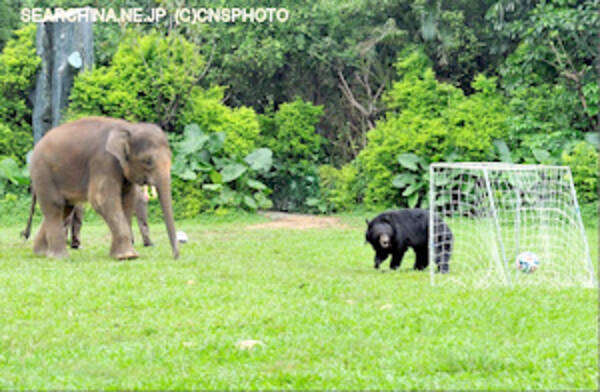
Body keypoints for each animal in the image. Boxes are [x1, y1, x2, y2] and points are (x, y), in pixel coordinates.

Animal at [25, 116, 178, 260]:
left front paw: (120, 255)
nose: (176, 257)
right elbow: (101, 200)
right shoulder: (104, 161)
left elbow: (127, 202)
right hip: (43, 173)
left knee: (65, 208)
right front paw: (128, 256)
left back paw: (40, 253)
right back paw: (59, 257)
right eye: (148, 161)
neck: (129, 128)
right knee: (55, 206)